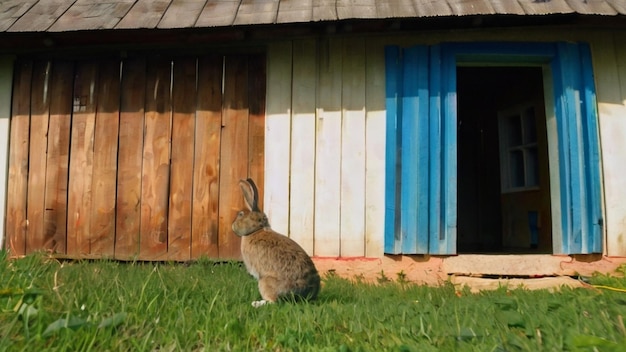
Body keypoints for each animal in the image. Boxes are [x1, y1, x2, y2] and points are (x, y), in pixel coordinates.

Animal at [229, 177, 320, 306]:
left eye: (240, 215)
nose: (233, 226)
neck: (256, 230)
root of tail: (303, 291)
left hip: (265, 281)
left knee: (272, 301)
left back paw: (256, 303)